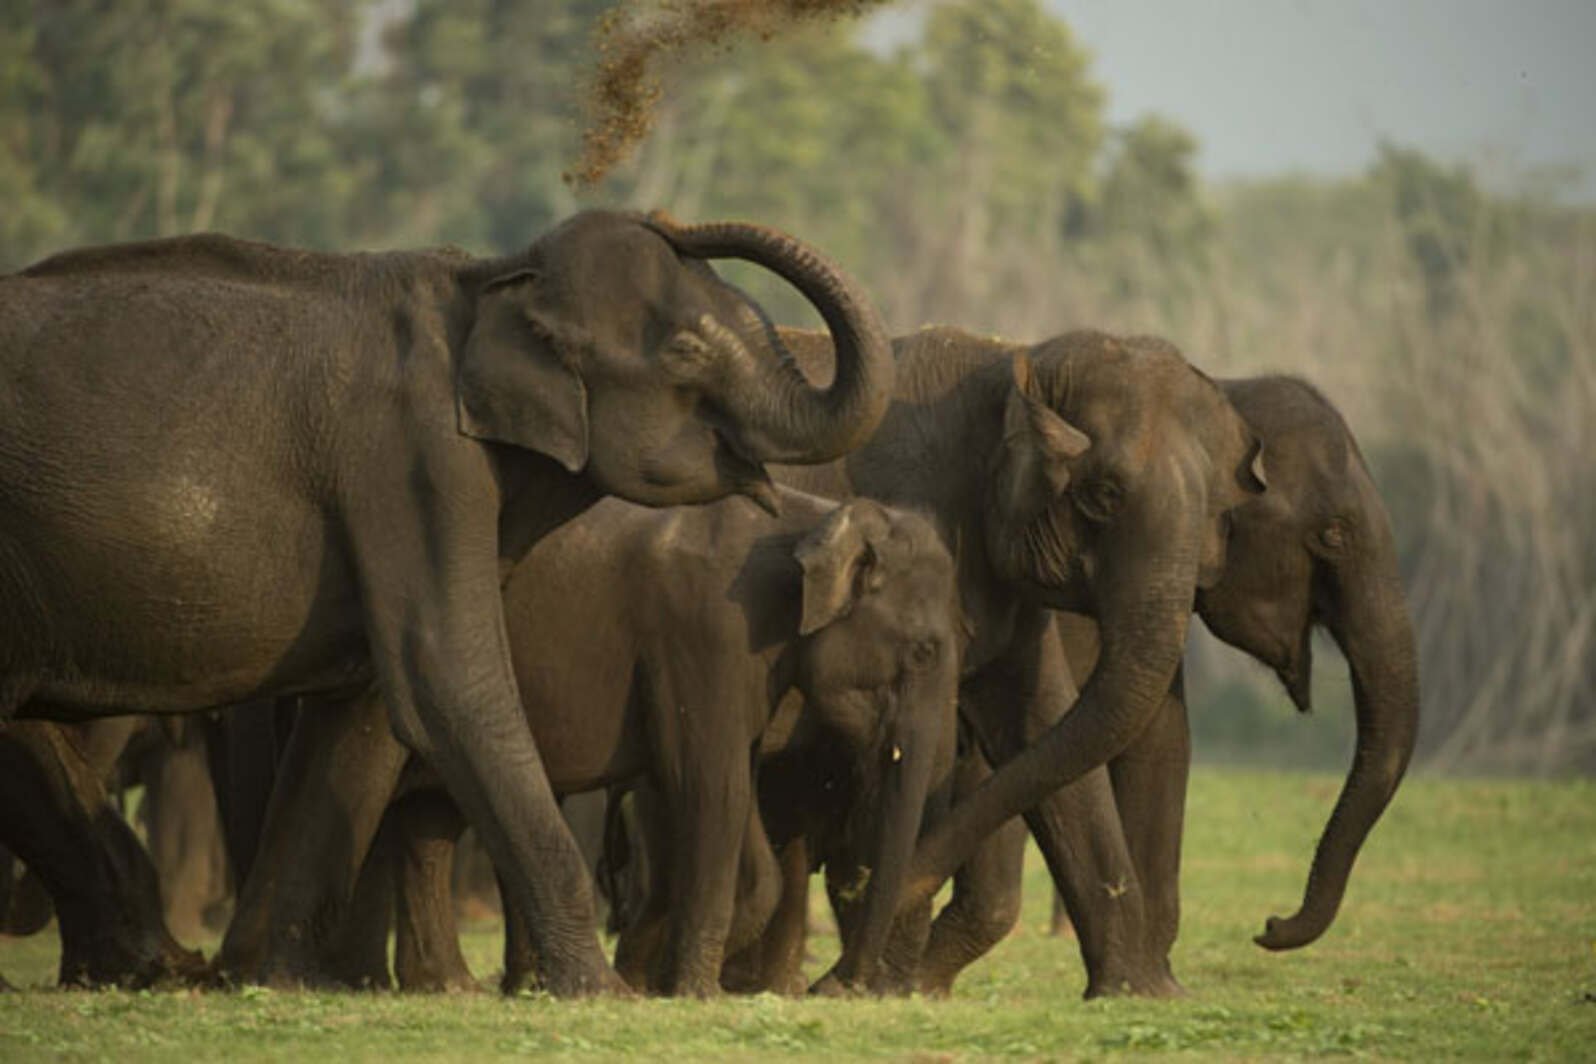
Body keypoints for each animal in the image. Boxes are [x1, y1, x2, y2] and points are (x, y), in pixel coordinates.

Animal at [0, 210, 900, 1001]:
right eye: (684, 352)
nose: (674, 217)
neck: (489, 281)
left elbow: (365, 711)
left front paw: (271, 977)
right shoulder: (415, 465)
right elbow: (447, 682)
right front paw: (603, 992)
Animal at [394, 491, 957, 1001]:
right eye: (924, 652)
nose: (834, 988)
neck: (813, 516)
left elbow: (739, 789)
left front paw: (666, 981)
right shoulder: (708, 634)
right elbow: (713, 785)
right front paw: (689, 990)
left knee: (431, 817)